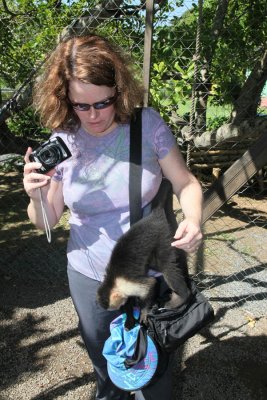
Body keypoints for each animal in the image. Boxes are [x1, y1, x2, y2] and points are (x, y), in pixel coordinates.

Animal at [97, 180, 192, 318]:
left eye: (118, 305)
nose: (121, 307)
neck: (112, 280)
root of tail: (153, 216)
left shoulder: (126, 285)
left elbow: (151, 284)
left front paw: (144, 311)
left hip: (162, 236)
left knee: (167, 268)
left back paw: (182, 296)